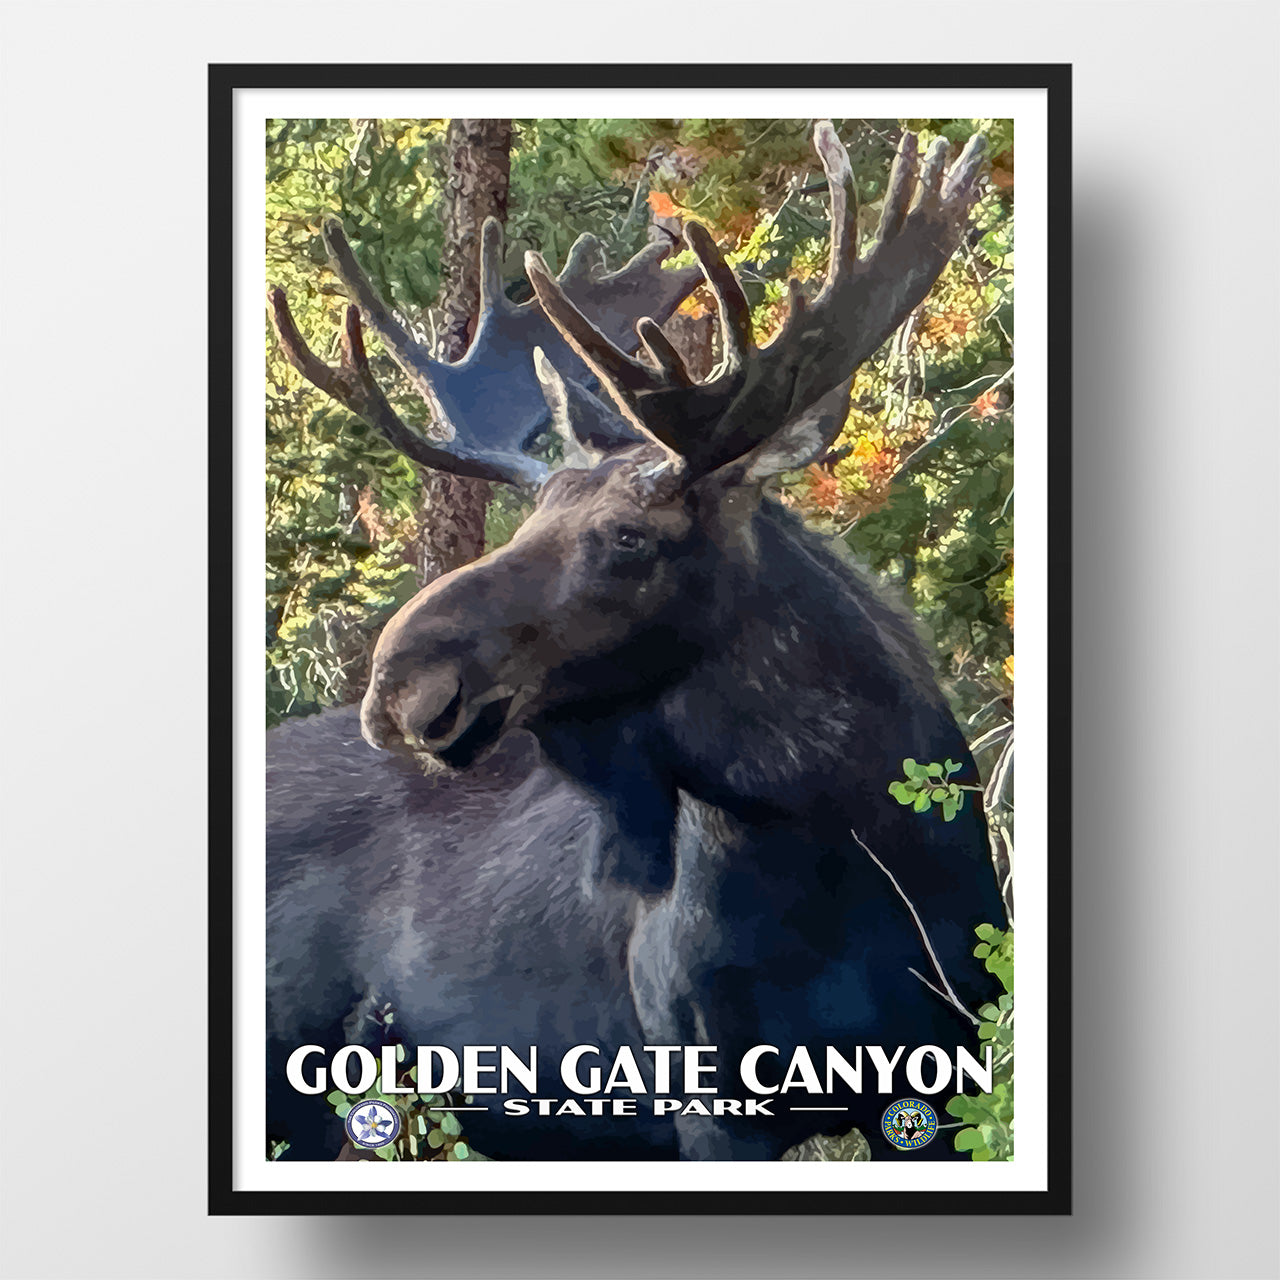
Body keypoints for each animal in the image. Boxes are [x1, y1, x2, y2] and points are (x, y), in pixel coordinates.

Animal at [265, 121, 1006, 1162]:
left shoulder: (942, 1070)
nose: (400, 681)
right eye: (533, 515)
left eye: (628, 537)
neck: (845, 835)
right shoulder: (707, 1099)